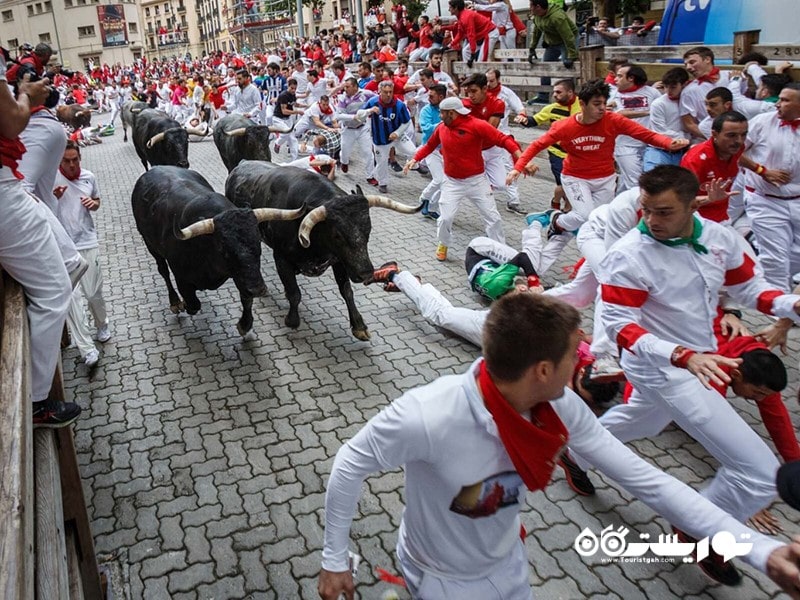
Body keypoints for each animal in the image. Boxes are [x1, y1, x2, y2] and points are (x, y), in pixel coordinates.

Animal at [131, 168, 306, 338]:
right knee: (163, 271)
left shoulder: (241, 274)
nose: (257, 289)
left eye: (258, 241)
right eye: (223, 248)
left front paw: (244, 324)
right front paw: (185, 303)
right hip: (150, 244)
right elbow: (193, 304)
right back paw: (175, 302)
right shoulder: (181, 277)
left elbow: (246, 298)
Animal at [225, 162, 422, 340]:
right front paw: (292, 320)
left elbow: (347, 291)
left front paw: (359, 326)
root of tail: (240, 166)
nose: (366, 273)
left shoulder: (339, 260)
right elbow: (294, 293)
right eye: (337, 235)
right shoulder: (281, 258)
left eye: (368, 229)